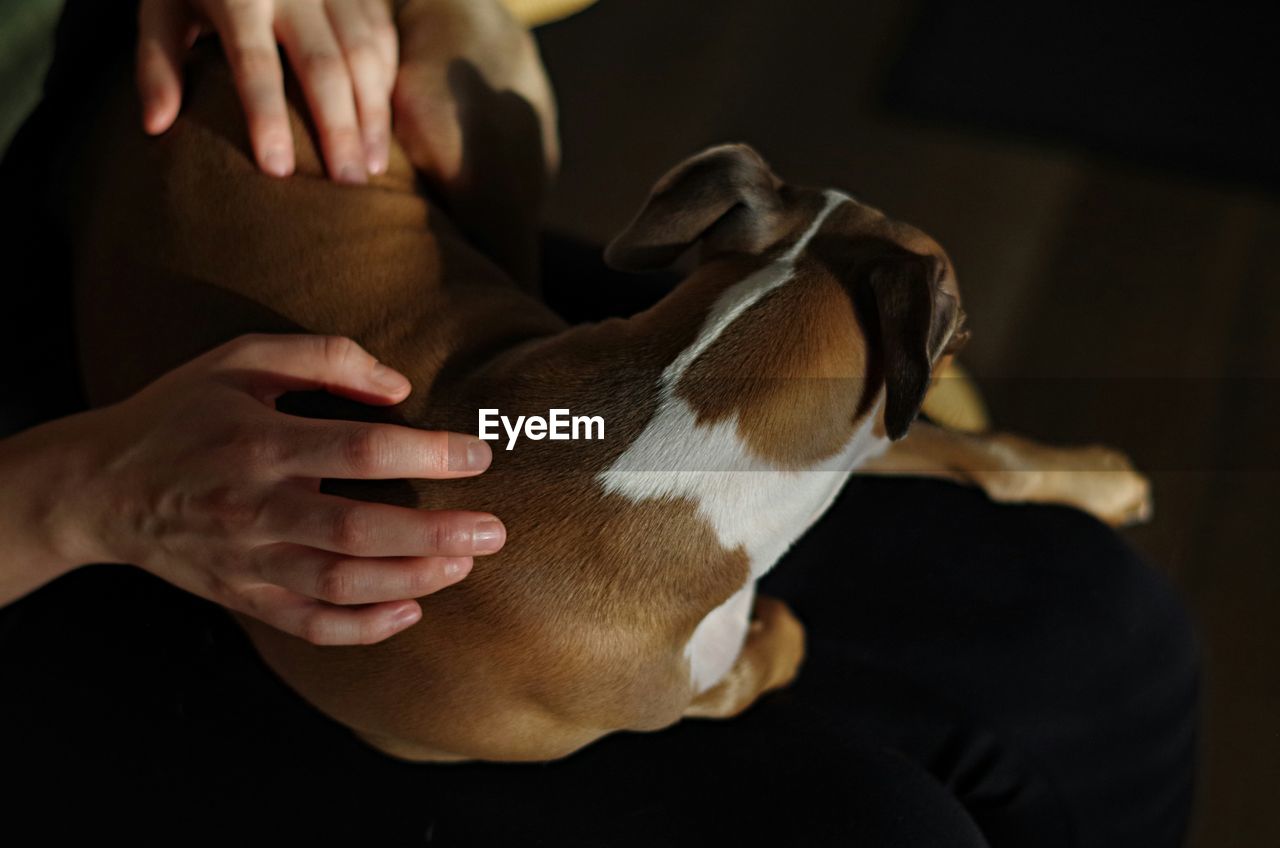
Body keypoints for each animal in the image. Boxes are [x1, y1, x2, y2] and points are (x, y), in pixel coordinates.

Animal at [64, 0, 1157, 763]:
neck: (670, 422)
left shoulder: (858, 429)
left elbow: (987, 452)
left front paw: (1100, 480)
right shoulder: (699, 676)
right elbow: (774, 648)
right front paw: (783, 629)